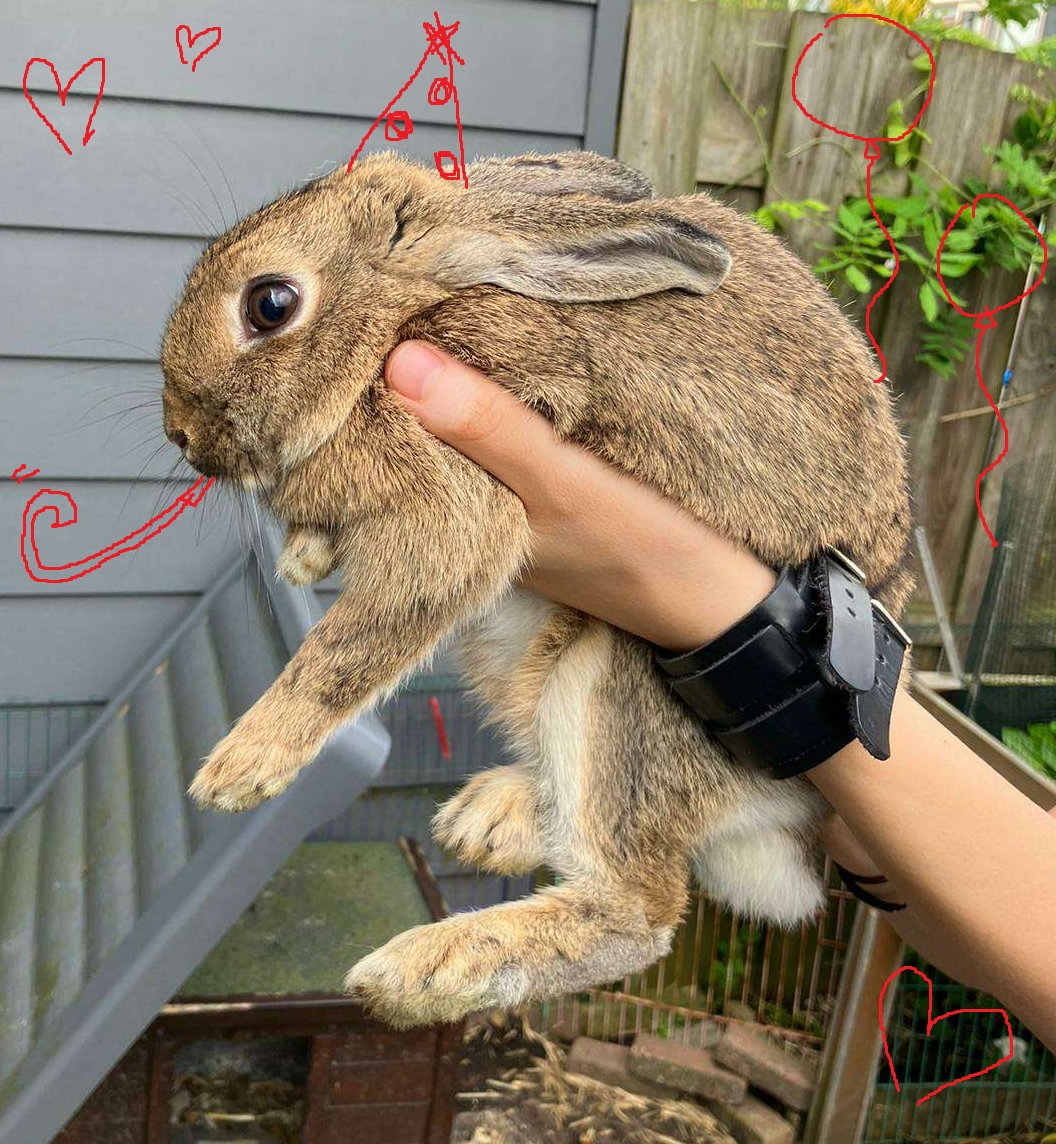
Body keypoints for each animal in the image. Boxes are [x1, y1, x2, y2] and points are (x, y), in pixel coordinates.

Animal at [160, 149, 914, 1029]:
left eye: (270, 304)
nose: (181, 433)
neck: (407, 314)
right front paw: (304, 559)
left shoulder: (459, 505)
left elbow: (347, 649)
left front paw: (239, 769)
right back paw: (490, 818)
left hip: (621, 683)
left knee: (636, 909)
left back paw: (420, 972)